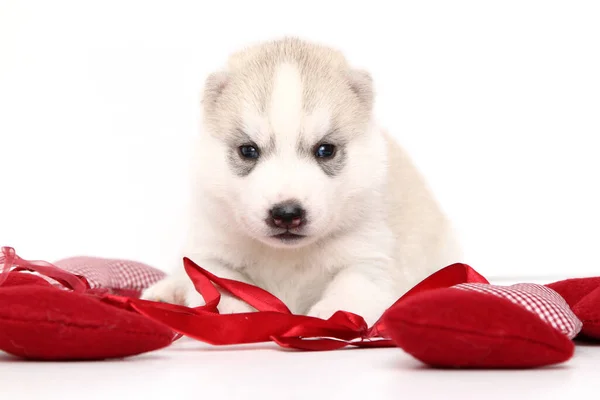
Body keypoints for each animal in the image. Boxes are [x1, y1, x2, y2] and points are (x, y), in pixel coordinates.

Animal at [141, 36, 460, 324]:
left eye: (325, 150)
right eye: (248, 150)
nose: (286, 213)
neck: (287, 255)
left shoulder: (371, 257)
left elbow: (352, 286)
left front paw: (331, 314)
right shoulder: (207, 252)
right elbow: (220, 284)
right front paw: (238, 312)